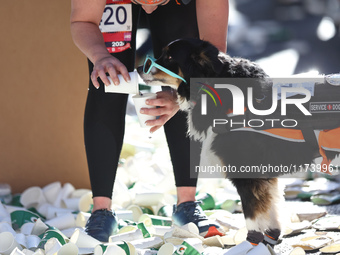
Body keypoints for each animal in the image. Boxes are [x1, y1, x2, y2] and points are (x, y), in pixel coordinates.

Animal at [137, 38, 338, 245]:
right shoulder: (265, 175)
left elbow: (251, 213)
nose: (138, 68)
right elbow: (271, 205)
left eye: (169, 57)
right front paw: (272, 235)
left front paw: (251, 241)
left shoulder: (246, 171)